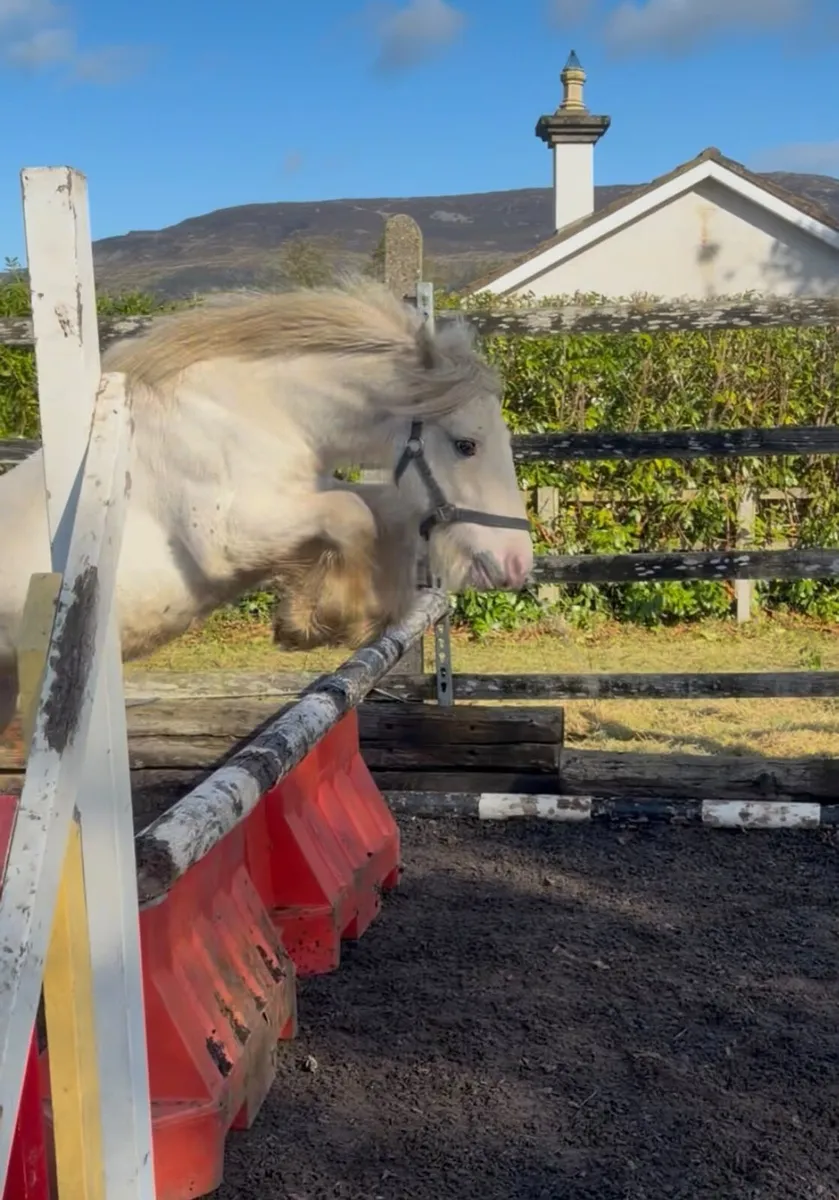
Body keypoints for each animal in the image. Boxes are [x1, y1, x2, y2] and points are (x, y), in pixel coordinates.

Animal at [0, 277, 533, 728]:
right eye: (466, 445)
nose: (517, 564)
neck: (255, 413)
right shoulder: (228, 541)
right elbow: (354, 515)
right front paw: (328, 618)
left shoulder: (304, 495)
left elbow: (382, 511)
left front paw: (318, 613)